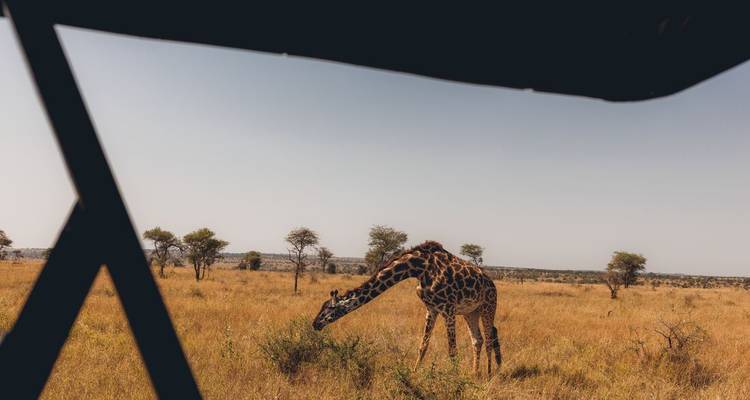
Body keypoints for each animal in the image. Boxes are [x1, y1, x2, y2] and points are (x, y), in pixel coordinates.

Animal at [312, 241, 502, 376]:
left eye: (328, 309)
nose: (315, 324)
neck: (418, 268)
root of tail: (491, 283)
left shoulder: (448, 309)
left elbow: (452, 350)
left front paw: (454, 379)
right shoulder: (432, 308)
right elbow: (423, 346)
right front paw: (413, 373)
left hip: (488, 306)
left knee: (489, 339)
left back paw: (489, 375)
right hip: (470, 312)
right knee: (478, 340)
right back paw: (474, 373)